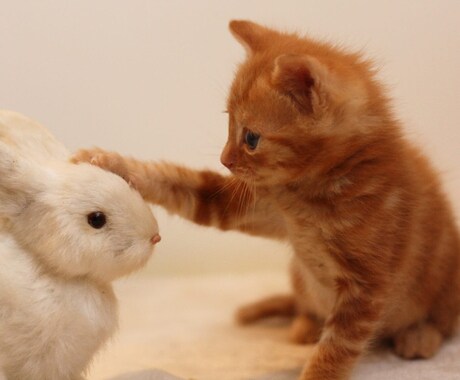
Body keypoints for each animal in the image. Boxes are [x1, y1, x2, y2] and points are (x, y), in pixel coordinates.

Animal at [73, 20, 460, 380]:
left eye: (251, 138)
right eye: (229, 123)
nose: (225, 160)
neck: (308, 200)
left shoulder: (368, 285)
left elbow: (339, 345)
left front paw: (317, 372)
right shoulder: (257, 204)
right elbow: (187, 186)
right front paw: (113, 164)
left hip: (444, 282)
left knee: (442, 321)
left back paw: (419, 336)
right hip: (299, 275)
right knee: (302, 304)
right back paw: (305, 324)